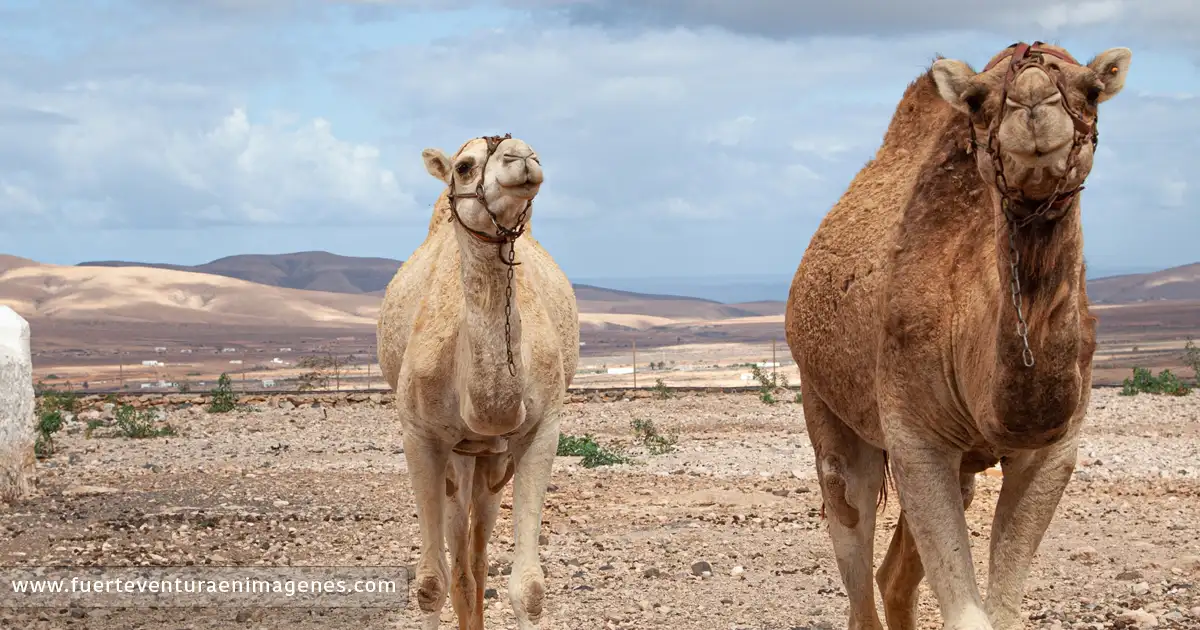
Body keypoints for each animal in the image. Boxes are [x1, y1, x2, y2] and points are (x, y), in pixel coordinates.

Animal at [377, 134, 579, 630]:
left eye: (535, 151)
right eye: (465, 166)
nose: (522, 157)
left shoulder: (541, 430)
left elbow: (530, 589)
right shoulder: (420, 436)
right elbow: (430, 585)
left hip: (491, 458)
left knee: (478, 553)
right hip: (457, 457)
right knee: (460, 560)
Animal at [784, 42, 1131, 630]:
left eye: (1090, 90)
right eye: (976, 102)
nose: (1032, 102)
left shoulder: (1051, 451)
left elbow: (1003, 608)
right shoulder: (915, 434)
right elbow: (968, 612)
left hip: (961, 465)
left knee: (893, 577)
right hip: (824, 398)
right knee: (850, 528)